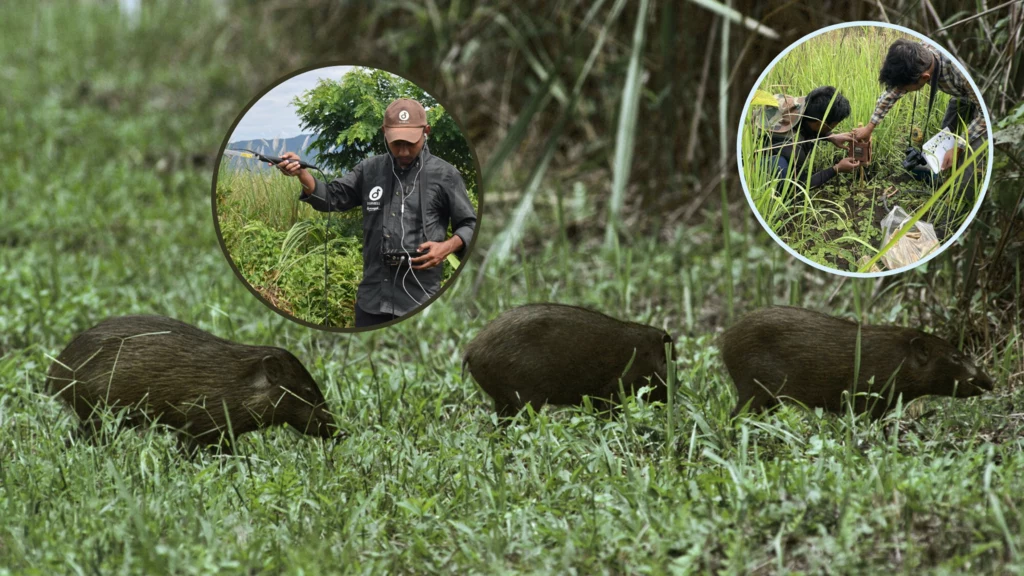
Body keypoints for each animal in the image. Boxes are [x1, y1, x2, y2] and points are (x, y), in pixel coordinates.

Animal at [48, 315, 335, 450]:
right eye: (308, 391)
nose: (338, 431)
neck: (237, 383)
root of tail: (55, 371)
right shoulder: (195, 426)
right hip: (99, 416)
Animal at [720, 305, 991, 416]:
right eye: (955, 356)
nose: (990, 381)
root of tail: (724, 340)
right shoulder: (863, 398)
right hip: (754, 390)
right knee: (734, 417)